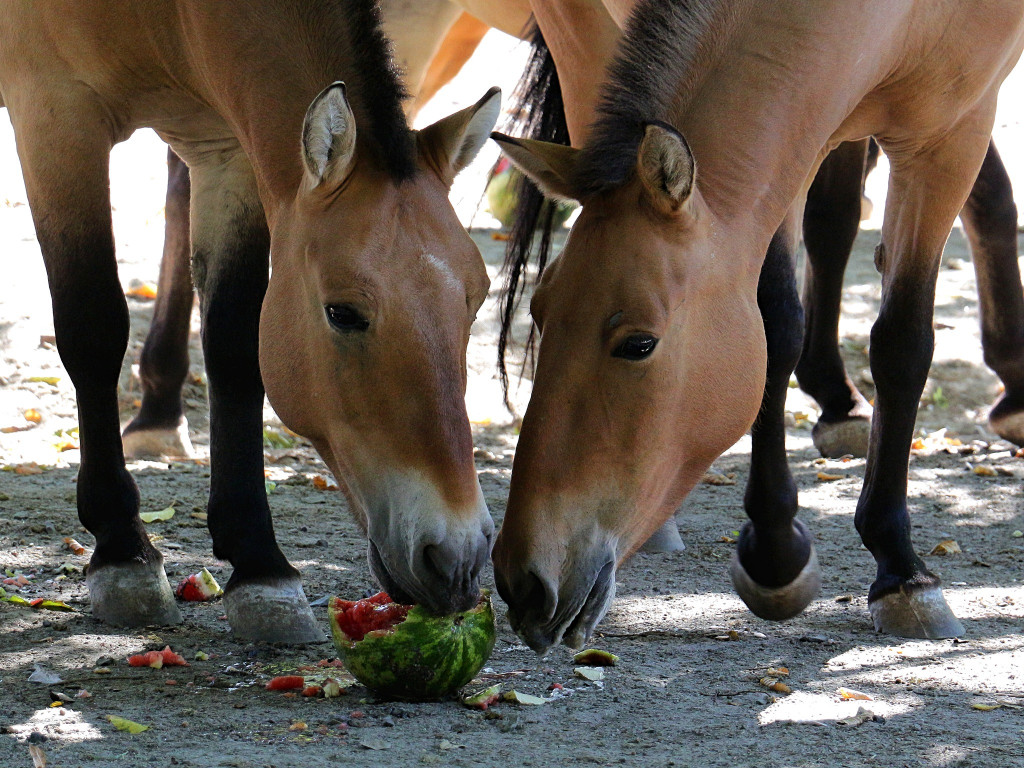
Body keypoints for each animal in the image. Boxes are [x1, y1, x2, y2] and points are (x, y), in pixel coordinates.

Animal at [0, 1, 503, 643]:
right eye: (342, 312)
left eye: (476, 299)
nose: (458, 559)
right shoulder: (55, 114)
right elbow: (94, 328)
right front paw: (121, 549)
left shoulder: (226, 153)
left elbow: (234, 346)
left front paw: (260, 565)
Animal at [491, 0, 1019, 651]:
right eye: (539, 313)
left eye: (639, 344)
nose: (523, 583)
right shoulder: (789, 149)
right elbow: (777, 325)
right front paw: (774, 552)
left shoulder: (951, 132)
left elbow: (901, 342)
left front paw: (902, 572)